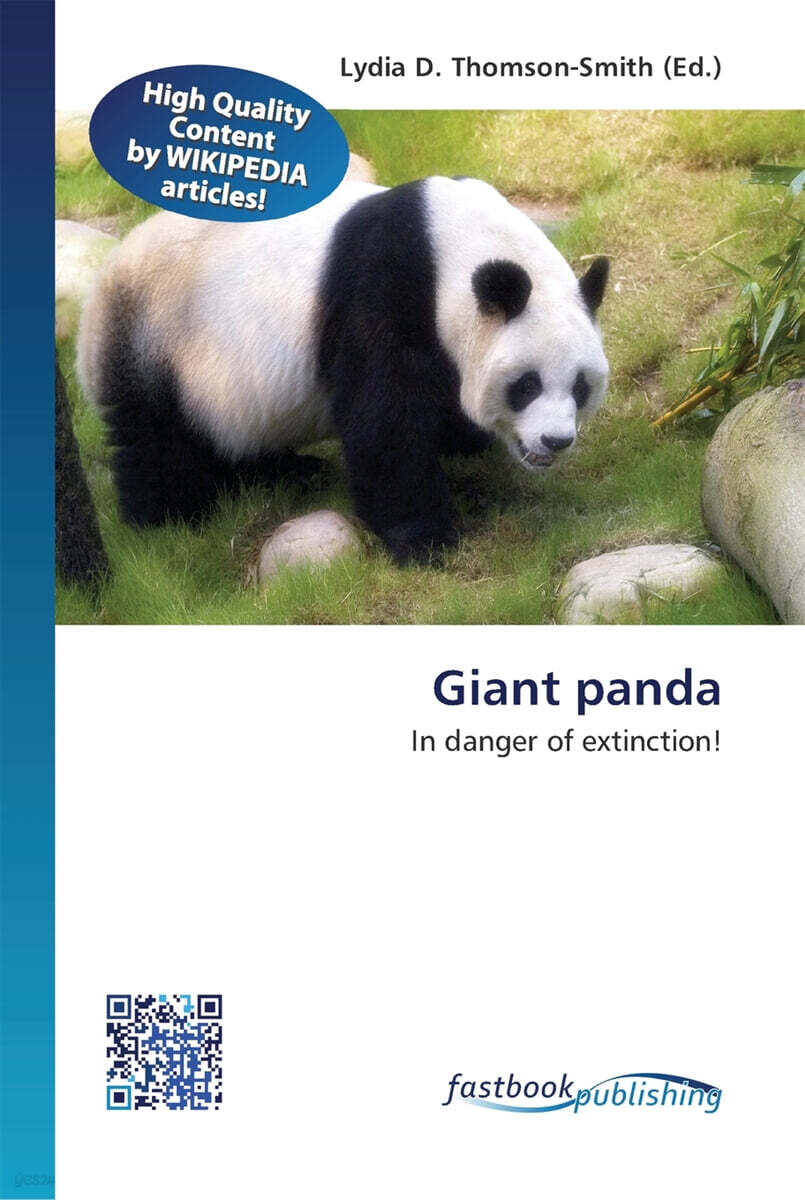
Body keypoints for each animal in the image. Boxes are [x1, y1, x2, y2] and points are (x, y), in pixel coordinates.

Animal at [77, 176, 609, 564]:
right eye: (527, 384)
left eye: (580, 387)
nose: (555, 441)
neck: (449, 247)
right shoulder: (383, 291)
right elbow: (384, 420)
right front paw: (424, 540)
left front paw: (463, 442)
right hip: (159, 338)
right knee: (156, 439)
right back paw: (170, 520)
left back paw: (284, 473)